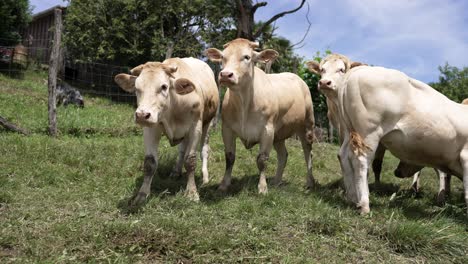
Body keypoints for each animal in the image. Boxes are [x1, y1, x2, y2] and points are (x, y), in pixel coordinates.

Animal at [116, 57, 220, 204]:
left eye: (164, 86)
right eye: (136, 88)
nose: (142, 115)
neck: (173, 107)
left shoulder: (195, 128)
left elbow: (190, 160)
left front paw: (192, 192)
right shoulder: (150, 129)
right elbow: (150, 163)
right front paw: (142, 194)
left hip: (208, 124)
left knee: (204, 150)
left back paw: (205, 177)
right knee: (182, 150)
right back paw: (176, 171)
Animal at [207, 37, 316, 194]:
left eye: (247, 57)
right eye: (223, 57)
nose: (226, 75)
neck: (244, 103)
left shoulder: (267, 130)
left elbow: (262, 160)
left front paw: (262, 187)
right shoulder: (227, 129)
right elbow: (230, 157)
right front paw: (224, 184)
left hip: (307, 126)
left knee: (308, 152)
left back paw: (310, 182)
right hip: (279, 134)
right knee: (283, 155)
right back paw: (276, 181)